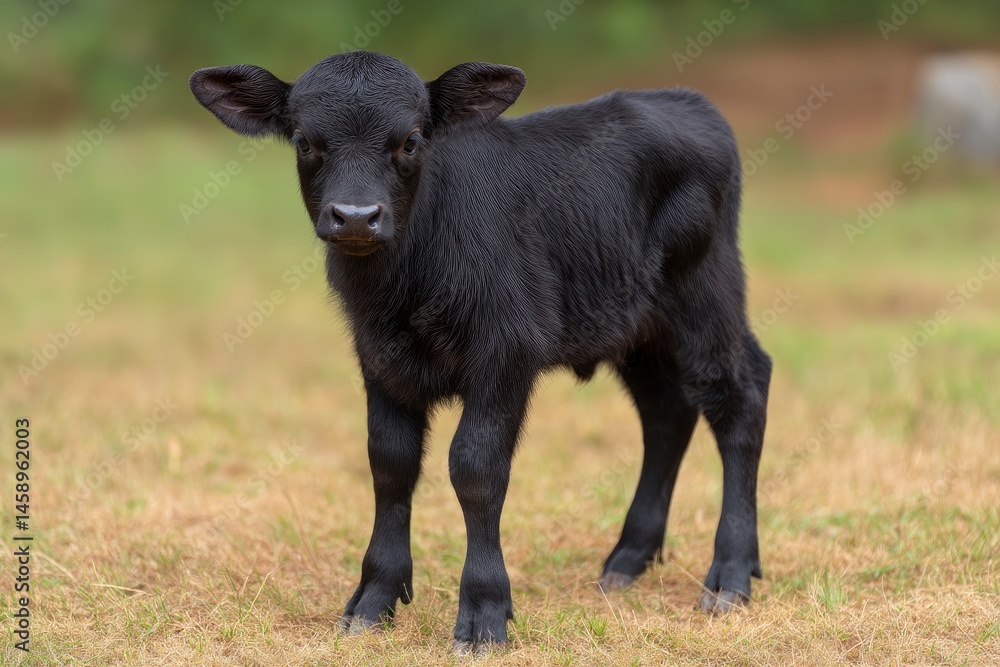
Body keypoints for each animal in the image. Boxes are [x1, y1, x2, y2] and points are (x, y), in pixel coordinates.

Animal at [189, 51, 772, 654]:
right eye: (305, 140)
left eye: (411, 140)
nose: (355, 216)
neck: (410, 280)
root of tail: (685, 100)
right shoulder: (378, 359)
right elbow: (390, 464)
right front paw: (373, 599)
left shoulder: (506, 353)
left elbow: (476, 468)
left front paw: (484, 612)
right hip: (636, 328)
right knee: (667, 414)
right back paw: (629, 557)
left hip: (705, 296)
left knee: (740, 397)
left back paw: (729, 574)